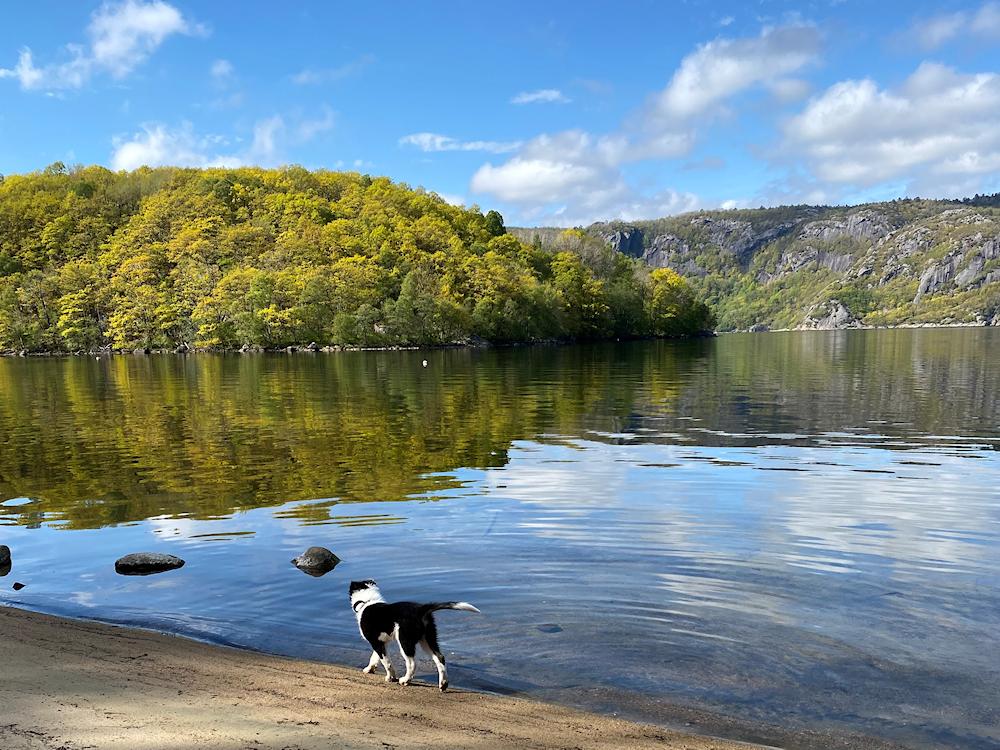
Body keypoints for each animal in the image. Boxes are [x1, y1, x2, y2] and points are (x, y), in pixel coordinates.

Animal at [350, 580, 478, 692]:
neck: (367, 601)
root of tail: (421, 609)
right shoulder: (382, 642)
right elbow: (376, 657)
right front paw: (369, 669)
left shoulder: (375, 641)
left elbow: (386, 662)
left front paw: (390, 678)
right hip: (428, 638)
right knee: (440, 658)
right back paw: (443, 684)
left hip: (405, 640)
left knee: (412, 663)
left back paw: (405, 680)